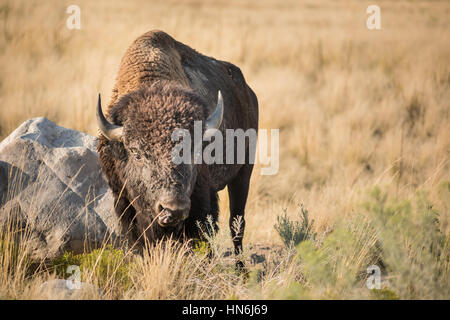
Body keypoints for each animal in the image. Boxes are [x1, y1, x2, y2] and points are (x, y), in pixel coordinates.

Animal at [96, 30, 258, 260]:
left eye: (194, 151)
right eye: (136, 152)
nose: (173, 209)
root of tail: (249, 94)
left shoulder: (199, 202)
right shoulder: (124, 202)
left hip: (244, 172)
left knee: (237, 224)